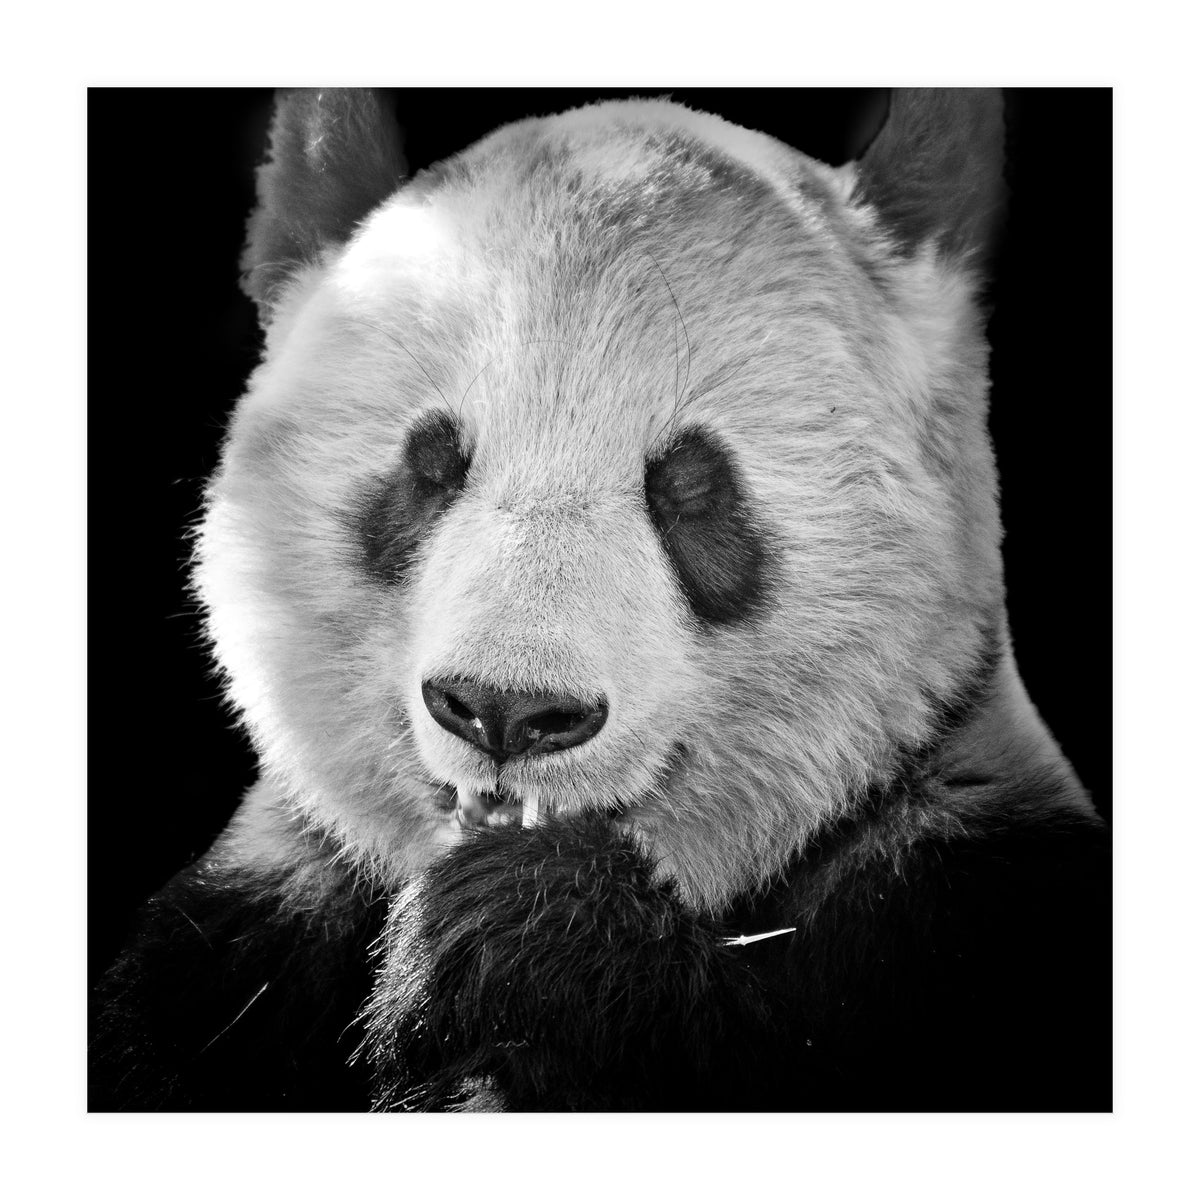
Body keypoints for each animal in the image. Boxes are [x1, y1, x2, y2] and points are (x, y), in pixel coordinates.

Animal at [90, 88, 1110, 1113]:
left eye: (691, 487)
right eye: (431, 465)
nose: (506, 710)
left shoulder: (963, 900)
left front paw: (527, 933)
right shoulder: (239, 943)